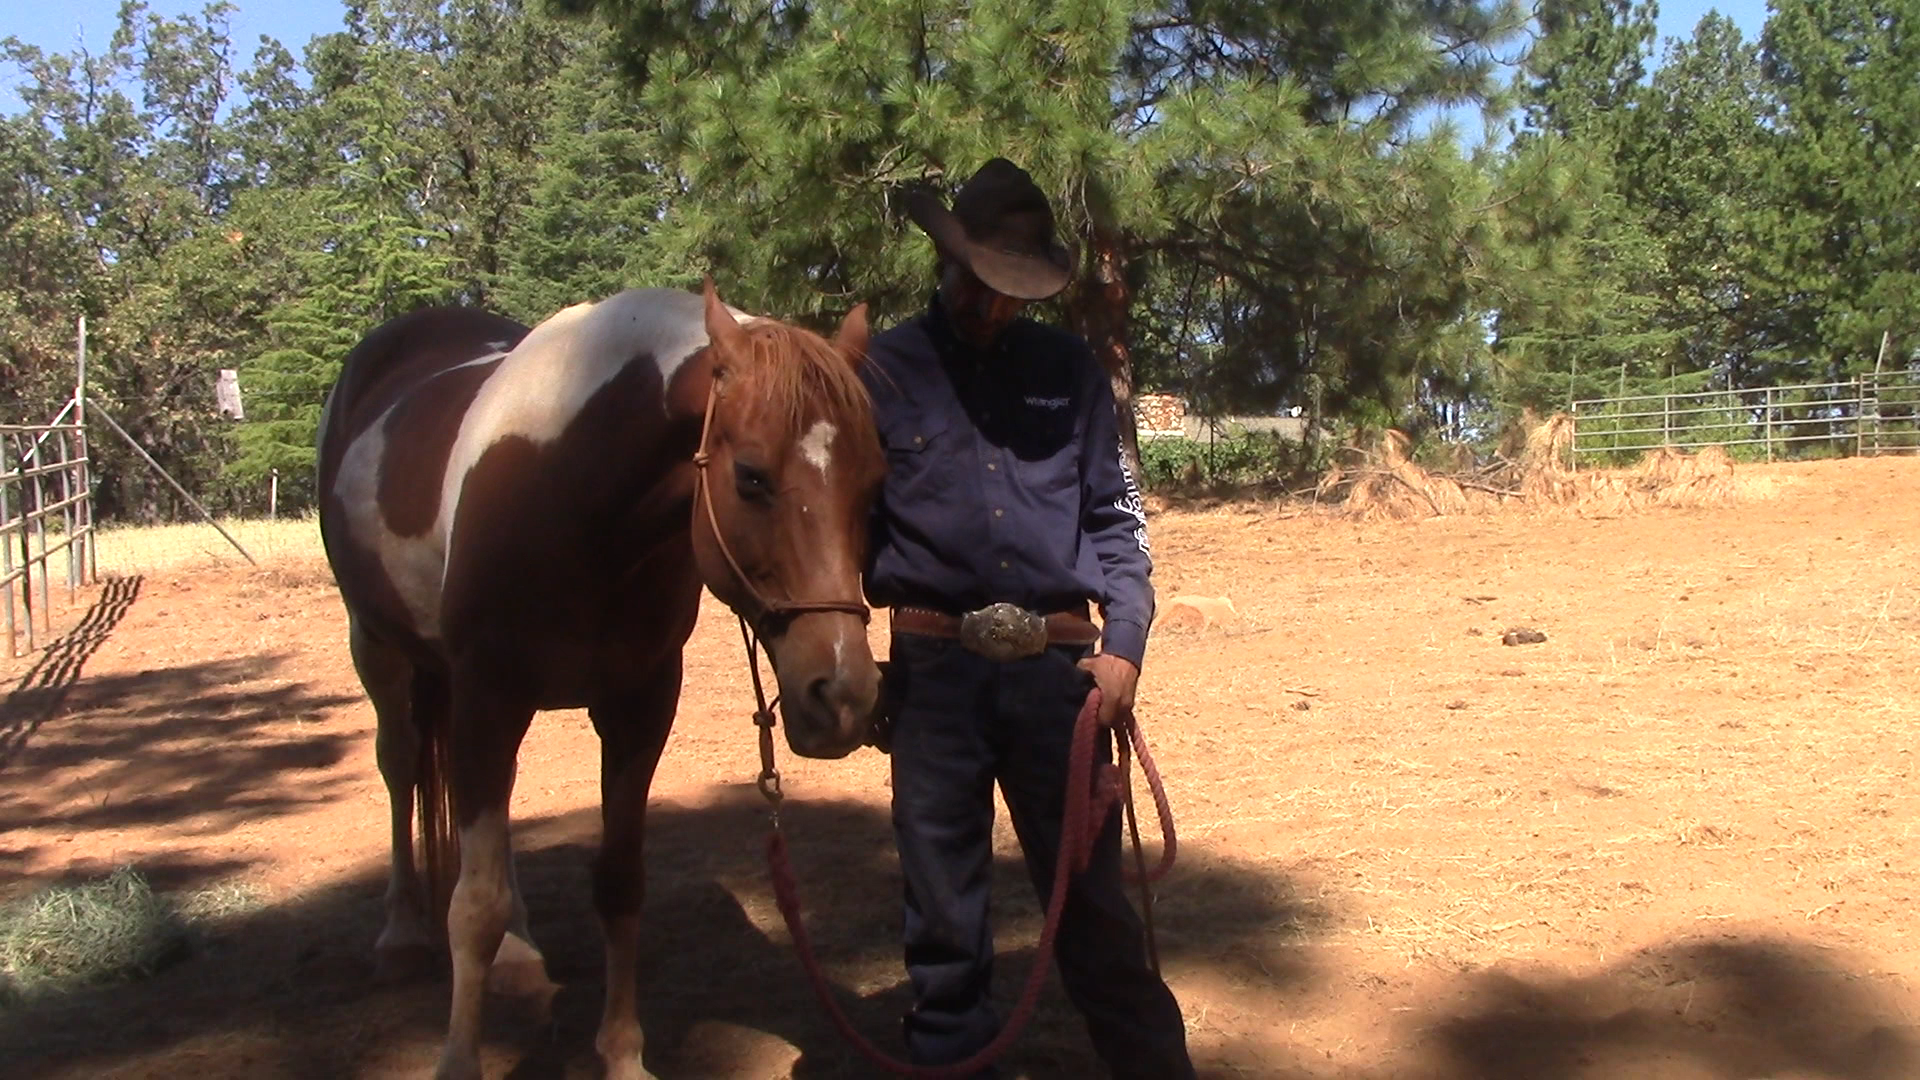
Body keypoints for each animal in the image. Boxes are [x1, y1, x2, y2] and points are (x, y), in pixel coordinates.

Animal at [315, 279, 886, 1080]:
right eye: (751, 478)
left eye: (874, 485)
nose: (843, 697)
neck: (570, 489)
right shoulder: (488, 695)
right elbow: (474, 904)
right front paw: (460, 1058)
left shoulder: (637, 705)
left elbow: (618, 883)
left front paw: (621, 1054)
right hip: (380, 649)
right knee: (401, 771)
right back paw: (400, 936)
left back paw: (520, 950)